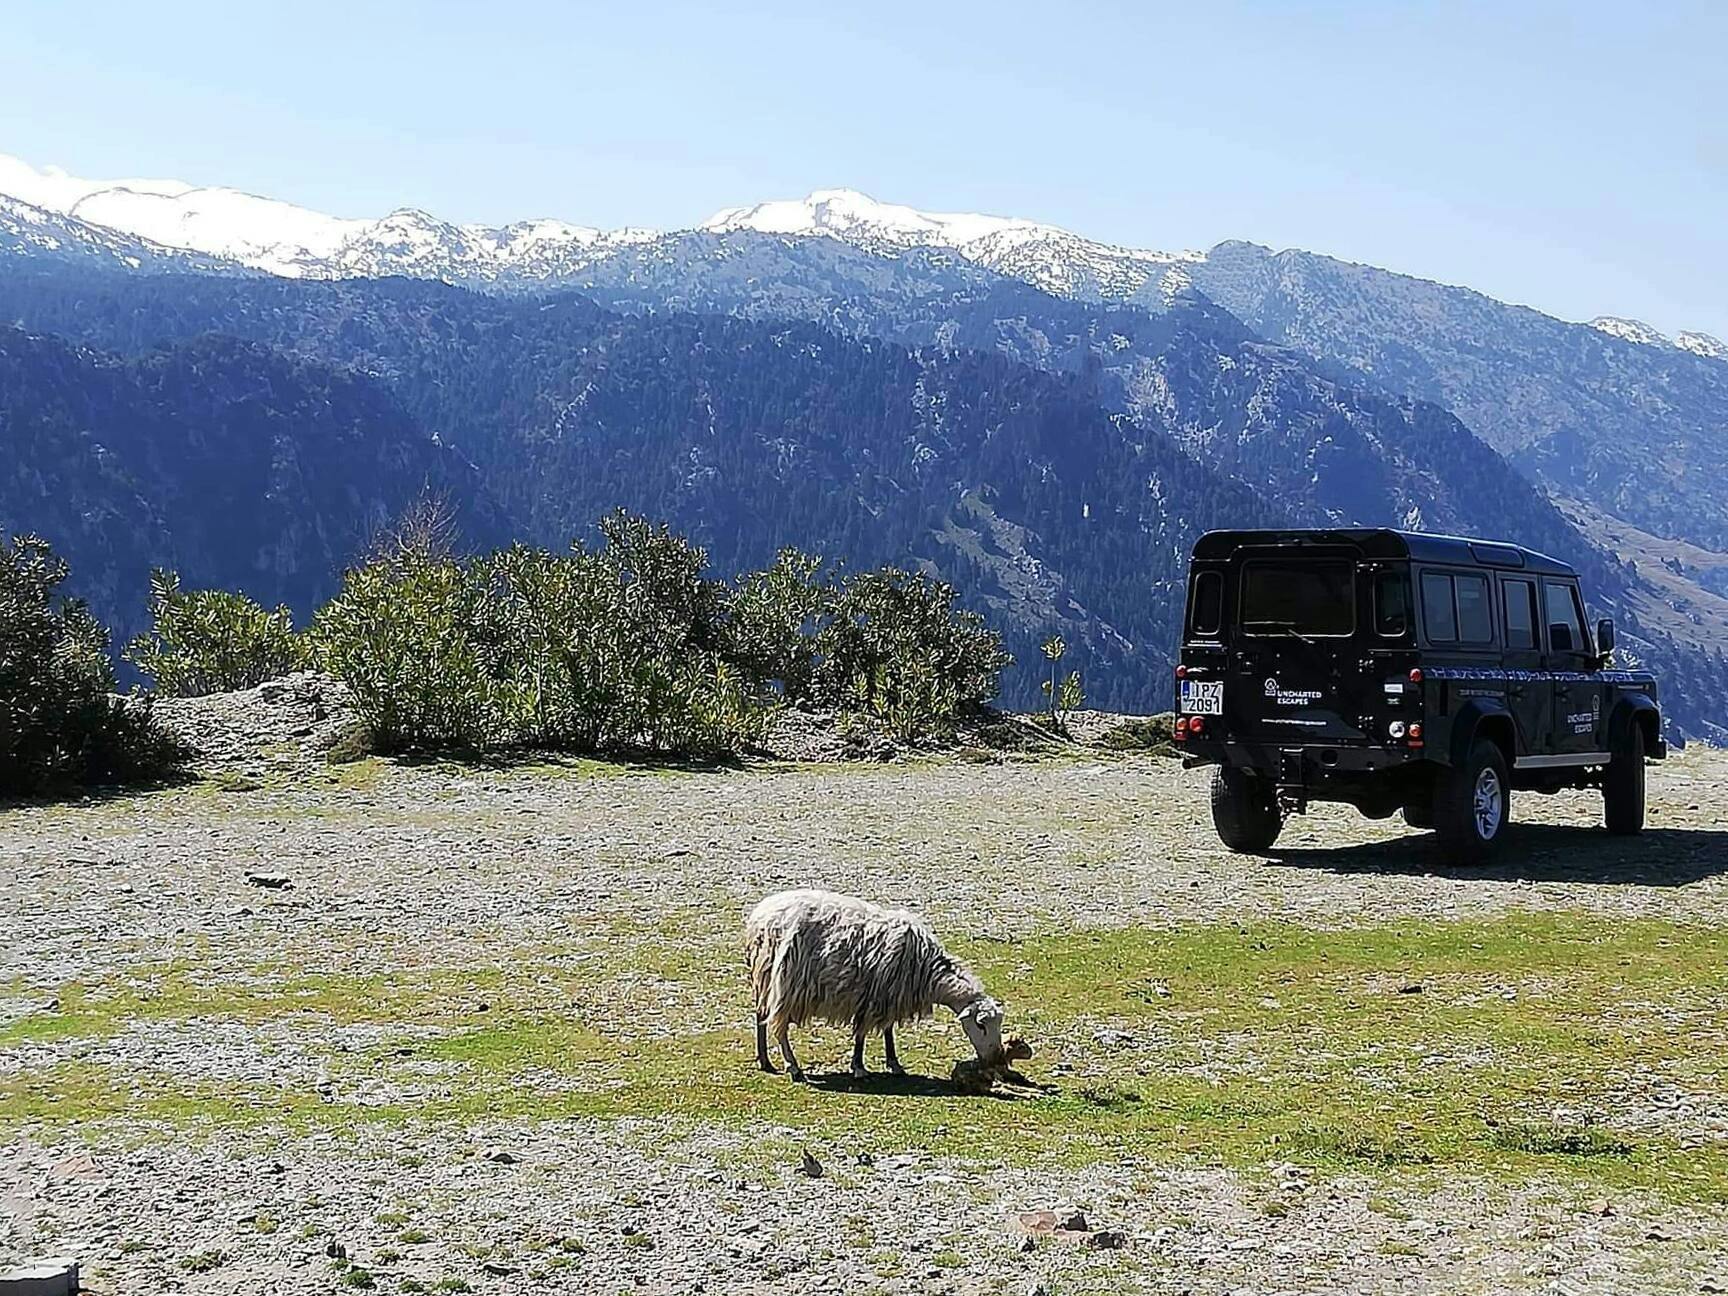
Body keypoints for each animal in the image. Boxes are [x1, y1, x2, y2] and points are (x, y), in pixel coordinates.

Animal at [746, 891, 1009, 1085]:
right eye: (980, 1025)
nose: (997, 1057)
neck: (926, 969)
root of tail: (760, 915)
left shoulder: (887, 995)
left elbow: (887, 1031)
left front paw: (893, 1063)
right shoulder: (876, 995)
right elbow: (863, 1033)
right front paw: (859, 1067)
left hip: (764, 977)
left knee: (760, 1017)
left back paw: (765, 1061)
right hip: (785, 983)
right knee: (779, 1027)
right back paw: (793, 1067)